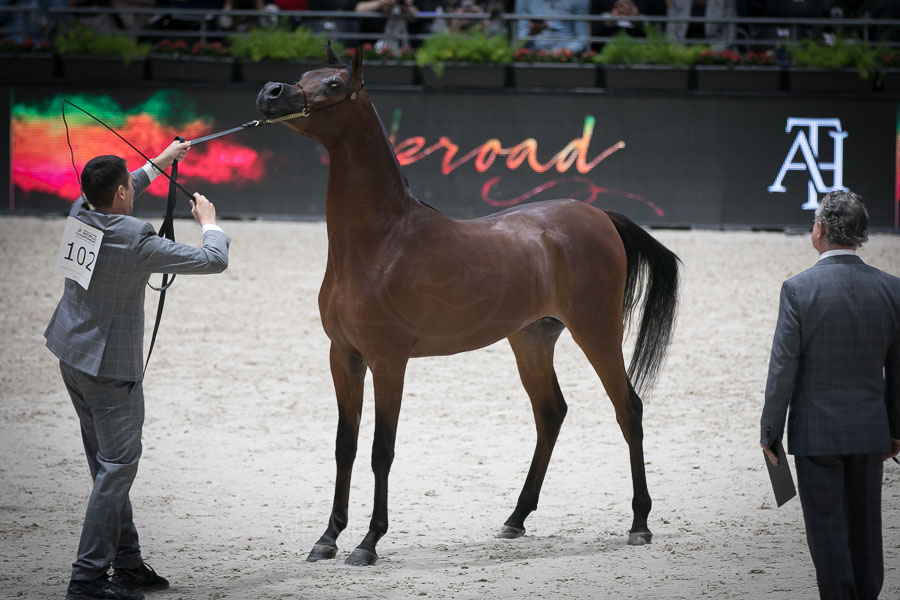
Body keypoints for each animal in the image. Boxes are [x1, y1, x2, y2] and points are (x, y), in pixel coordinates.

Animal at [256, 46, 681, 567]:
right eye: (304, 74)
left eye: (334, 84)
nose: (271, 92)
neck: (381, 243)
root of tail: (598, 214)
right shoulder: (344, 357)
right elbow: (345, 446)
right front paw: (328, 537)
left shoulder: (388, 361)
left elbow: (381, 450)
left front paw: (368, 542)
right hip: (532, 338)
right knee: (551, 413)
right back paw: (516, 519)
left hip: (596, 331)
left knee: (628, 409)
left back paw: (639, 523)